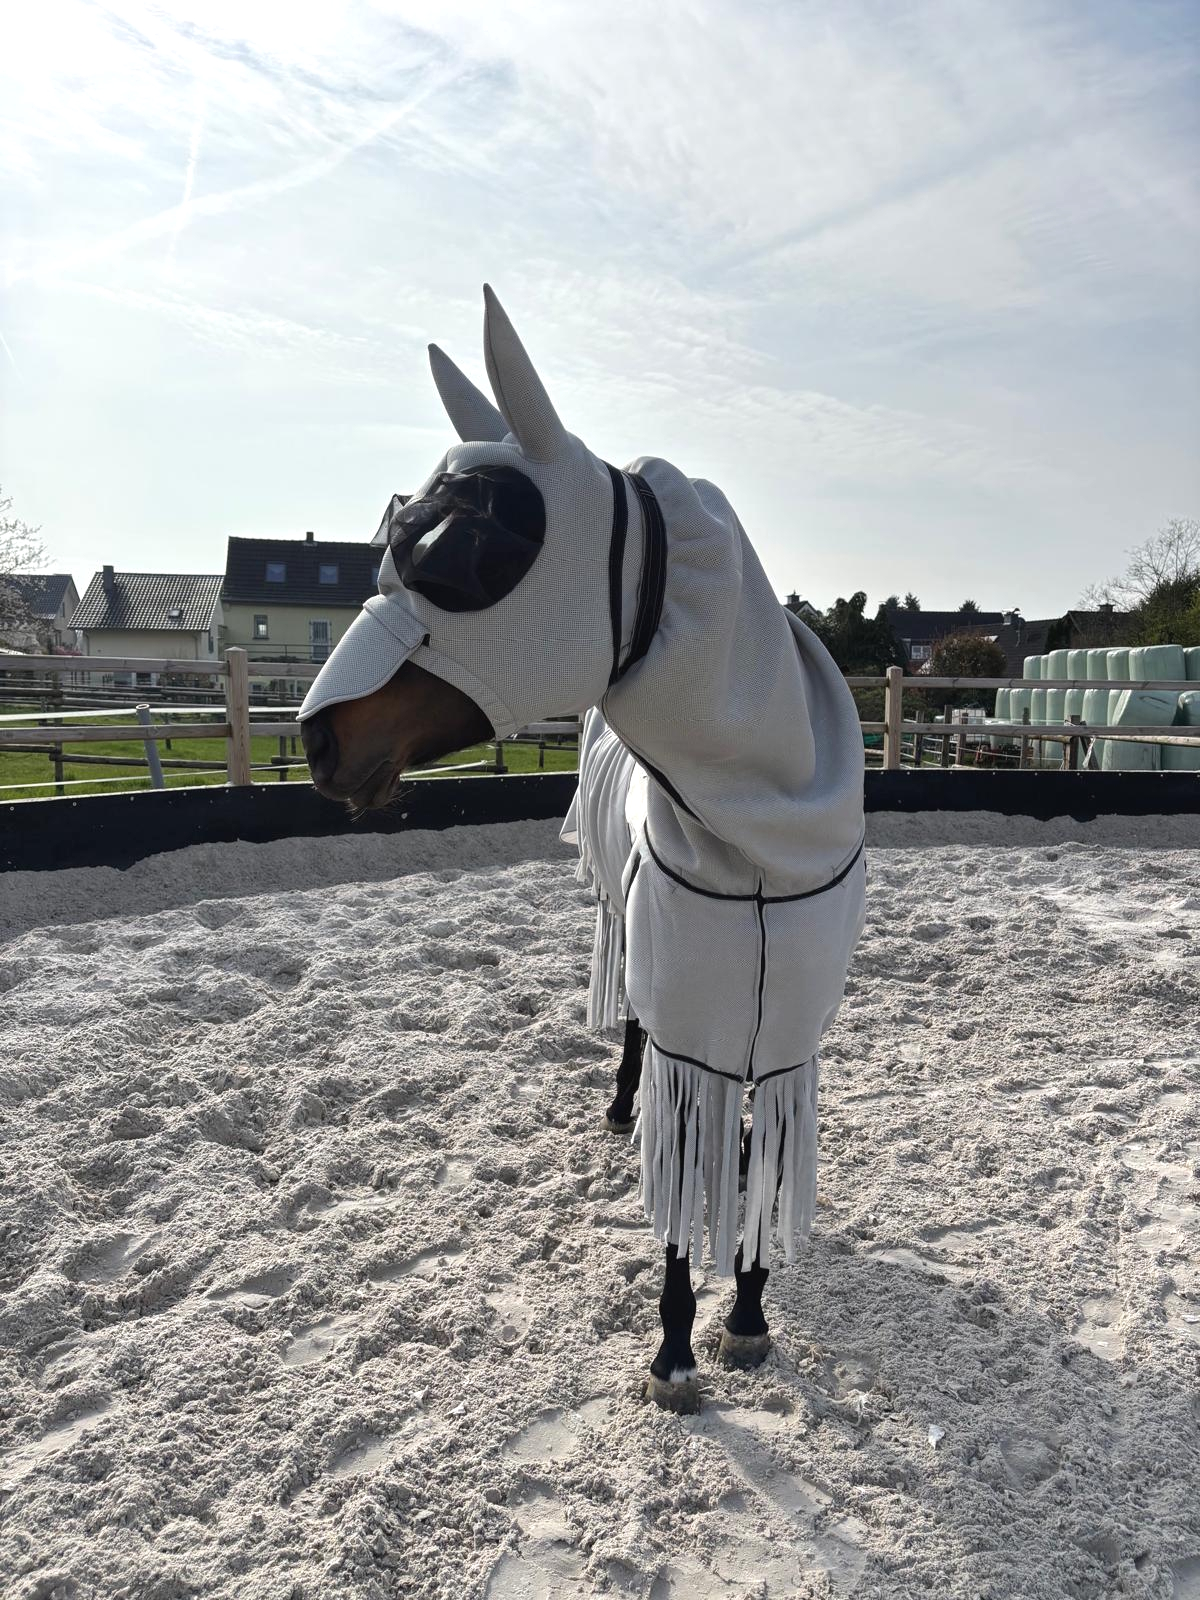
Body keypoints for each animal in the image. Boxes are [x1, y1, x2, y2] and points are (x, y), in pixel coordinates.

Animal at [300, 287, 866, 1411]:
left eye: (468, 549)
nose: (317, 741)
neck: (763, 853)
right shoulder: (693, 1025)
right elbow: (682, 1180)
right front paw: (678, 1353)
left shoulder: (782, 1044)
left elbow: (755, 1167)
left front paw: (748, 1316)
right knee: (635, 1032)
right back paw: (617, 1109)